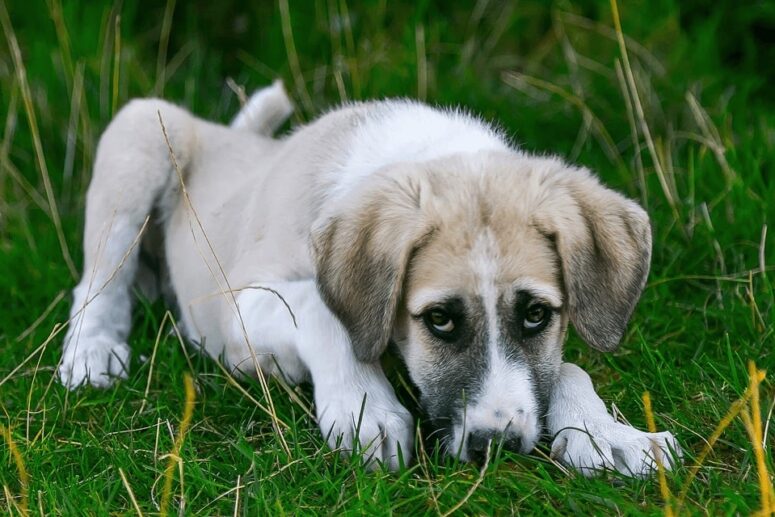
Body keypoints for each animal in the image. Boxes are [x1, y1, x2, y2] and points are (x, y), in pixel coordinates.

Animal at [59, 81, 680, 476]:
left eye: (536, 315)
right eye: (439, 319)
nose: (497, 446)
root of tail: (228, 135)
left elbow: (568, 367)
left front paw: (608, 434)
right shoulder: (239, 306)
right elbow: (320, 310)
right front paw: (365, 410)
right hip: (141, 132)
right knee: (97, 279)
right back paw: (92, 351)